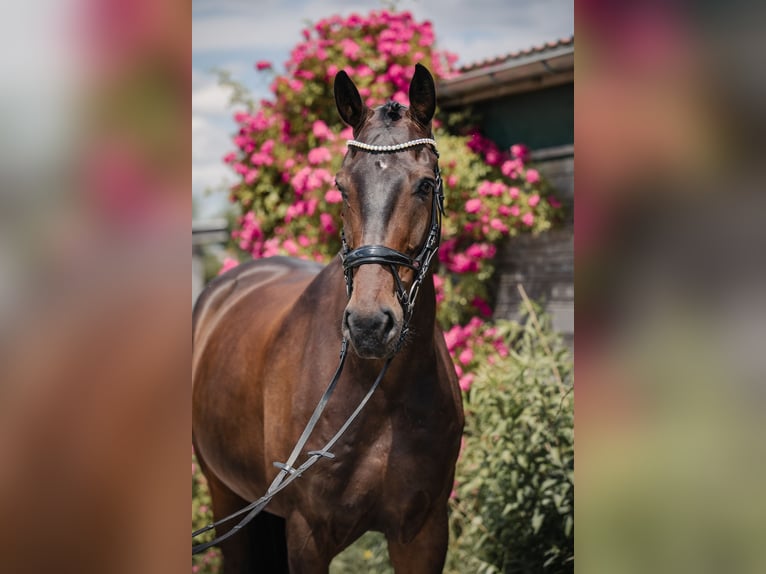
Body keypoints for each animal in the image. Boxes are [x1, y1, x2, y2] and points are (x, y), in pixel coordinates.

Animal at [195, 64, 464, 574]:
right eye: (341, 186)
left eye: (424, 184)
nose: (369, 325)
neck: (377, 392)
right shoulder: (307, 536)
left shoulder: (424, 533)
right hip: (224, 497)